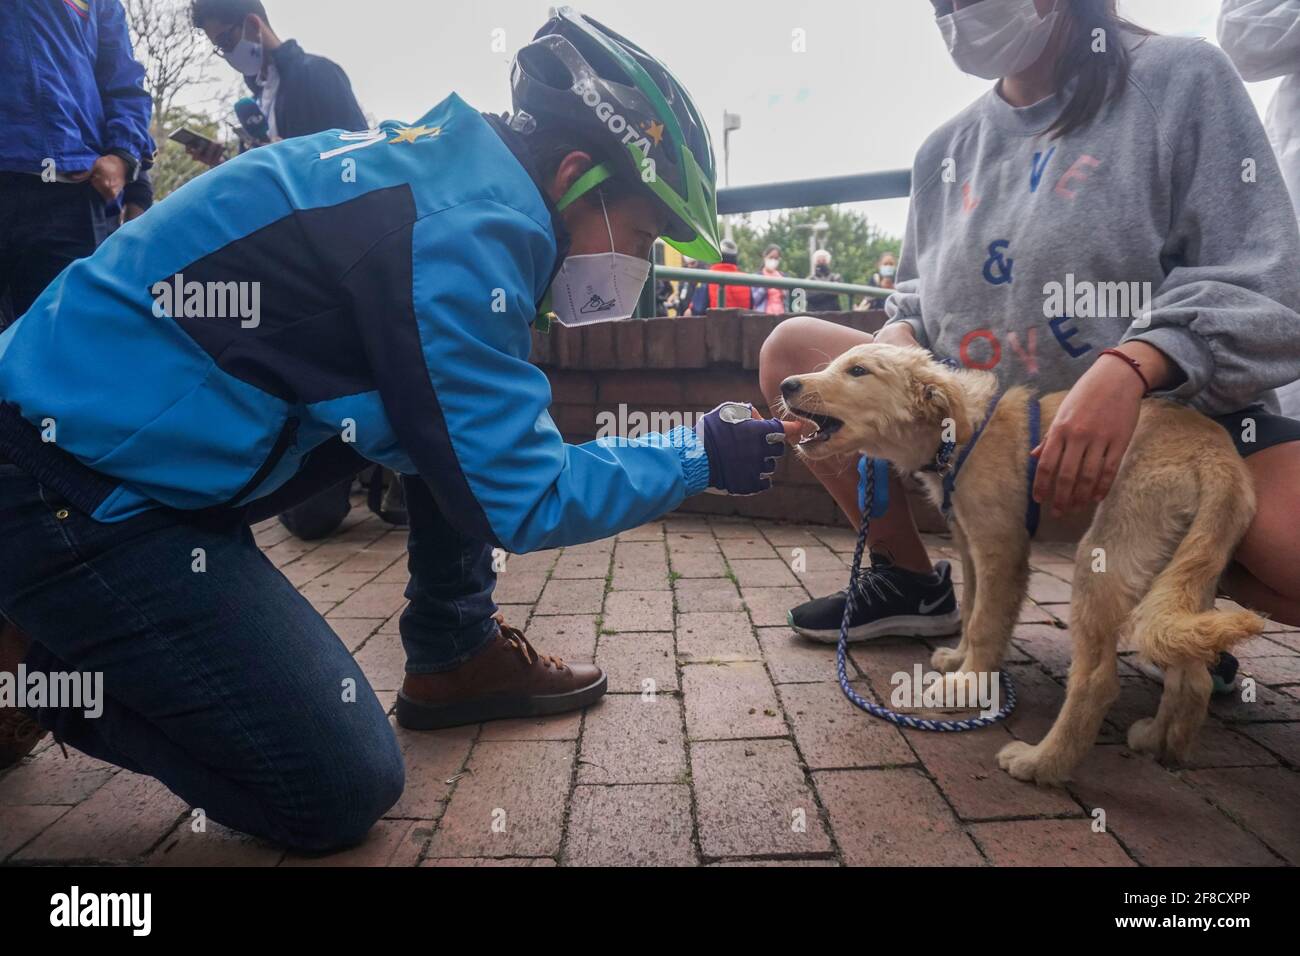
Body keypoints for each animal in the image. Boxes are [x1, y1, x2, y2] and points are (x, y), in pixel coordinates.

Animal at [774, 343, 1263, 785]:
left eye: (858, 371)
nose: (786, 384)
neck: (960, 431)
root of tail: (1217, 457)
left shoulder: (1001, 547)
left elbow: (986, 623)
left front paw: (966, 687)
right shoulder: (970, 544)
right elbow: (973, 610)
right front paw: (960, 662)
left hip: (1104, 556)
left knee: (1098, 681)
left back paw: (1041, 764)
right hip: (1183, 572)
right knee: (1192, 674)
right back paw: (1163, 743)